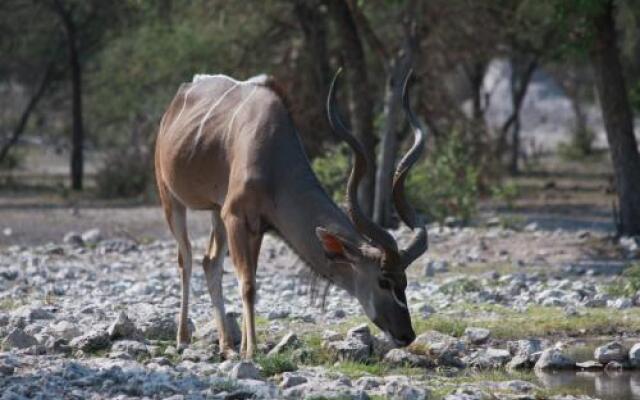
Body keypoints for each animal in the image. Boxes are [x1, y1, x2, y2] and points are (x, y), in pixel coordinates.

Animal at [153, 69, 428, 360]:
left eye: (405, 281)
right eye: (383, 281)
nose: (406, 335)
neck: (274, 158)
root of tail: (179, 98)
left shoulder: (255, 227)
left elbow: (248, 279)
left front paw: (244, 348)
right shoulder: (235, 216)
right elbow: (247, 284)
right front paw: (251, 351)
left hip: (216, 212)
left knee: (210, 262)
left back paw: (226, 346)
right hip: (171, 199)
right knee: (186, 259)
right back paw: (183, 339)